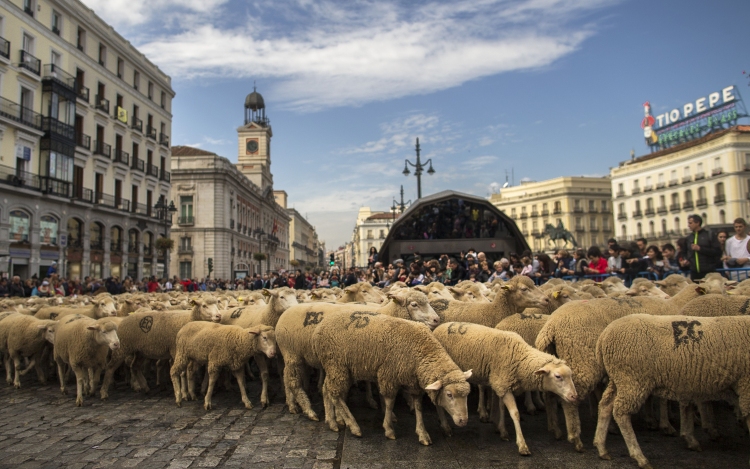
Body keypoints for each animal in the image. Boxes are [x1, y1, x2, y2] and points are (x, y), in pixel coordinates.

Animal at [276, 288, 440, 420]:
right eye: (414, 304)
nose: (437, 319)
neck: (386, 313)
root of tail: (284, 315)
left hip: (295, 355)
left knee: (285, 376)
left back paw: (292, 404)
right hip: (292, 353)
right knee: (292, 381)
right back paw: (309, 411)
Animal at [312, 312, 470, 444]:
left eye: (467, 395)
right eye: (449, 394)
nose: (463, 421)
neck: (422, 352)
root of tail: (320, 327)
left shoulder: (414, 384)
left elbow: (418, 407)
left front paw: (422, 433)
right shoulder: (389, 376)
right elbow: (389, 403)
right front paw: (389, 429)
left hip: (339, 368)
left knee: (326, 389)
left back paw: (332, 421)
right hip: (337, 365)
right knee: (335, 394)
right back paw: (353, 426)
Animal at [536, 280, 724, 452]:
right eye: (644, 290)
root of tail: (551, 325)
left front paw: (653, 420)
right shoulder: (668, 365)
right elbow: (670, 399)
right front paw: (670, 425)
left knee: (550, 394)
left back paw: (557, 429)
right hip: (583, 362)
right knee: (569, 399)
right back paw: (576, 438)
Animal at [592, 314, 750, 468]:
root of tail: (604, 335)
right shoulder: (746, 386)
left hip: (619, 379)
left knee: (605, 405)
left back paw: (601, 448)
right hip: (632, 379)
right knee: (621, 412)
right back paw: (640, 457)